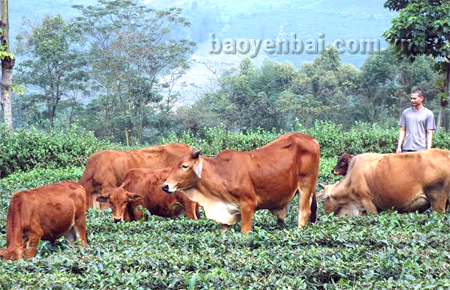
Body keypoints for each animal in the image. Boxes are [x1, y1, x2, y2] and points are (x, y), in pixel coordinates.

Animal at [162, 133, 320, 233]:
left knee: (304, 213)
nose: (165, 186)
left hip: (306, 186)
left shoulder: (248, 205)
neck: (221, 173)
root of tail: (312, 140)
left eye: (184, 166)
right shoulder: (226, 213)